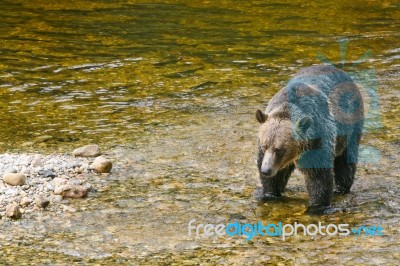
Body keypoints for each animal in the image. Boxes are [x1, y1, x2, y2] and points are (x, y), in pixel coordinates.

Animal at [255, 64, 364, 214]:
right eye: (264, 146)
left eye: (280, 149)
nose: (266, 170)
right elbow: (275, 178)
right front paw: (270, 194)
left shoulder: (318, 140)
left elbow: (319, 177)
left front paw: (317, 206)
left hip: (349, 127)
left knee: (346, 162)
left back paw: (341, 188)